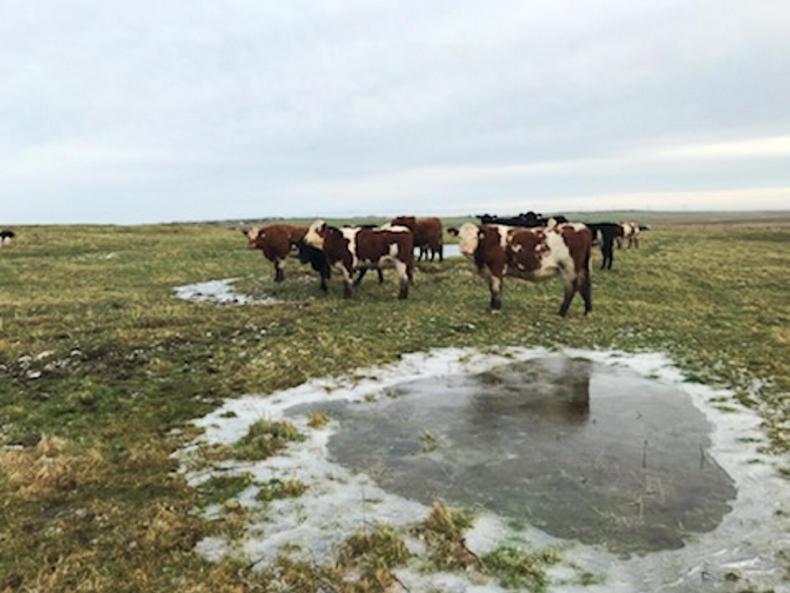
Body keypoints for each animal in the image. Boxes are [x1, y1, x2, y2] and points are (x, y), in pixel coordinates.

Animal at [448, 221, 592, 315]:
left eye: (475, 237)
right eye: (459, 237)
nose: (465, 250)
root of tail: (581, 227)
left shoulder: (496, 268)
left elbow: (496, 289)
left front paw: (496, 309)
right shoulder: (488, 272)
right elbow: (491, 289)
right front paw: (491, 307)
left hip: (569, 268)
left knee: (571, 289)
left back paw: (561, 312)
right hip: (581, 267)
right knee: (585, 285)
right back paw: (587, 311)